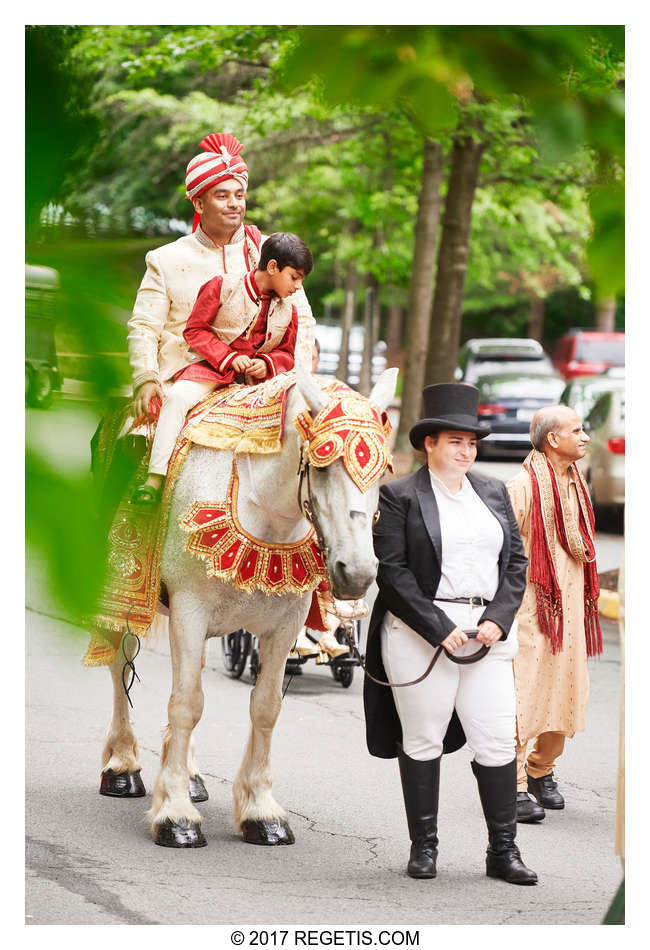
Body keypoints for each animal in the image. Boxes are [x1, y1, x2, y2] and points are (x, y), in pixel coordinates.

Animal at [97, 364, 394, 848]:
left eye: (384, 469)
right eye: (324, 462)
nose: (358, 573)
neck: (265, 510)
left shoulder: (284, 625)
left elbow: (265, 707)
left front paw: (260, 811)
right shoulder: (189, 610)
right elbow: (185, 704)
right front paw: (175, 815)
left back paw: (191, 775)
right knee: (121, 665)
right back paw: (122, 767)